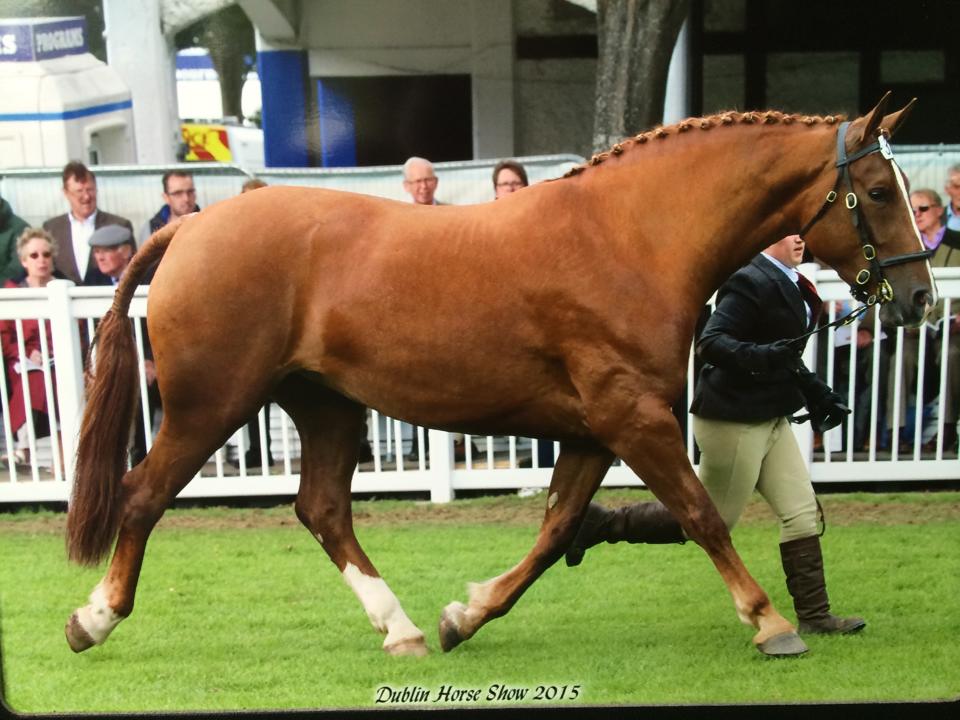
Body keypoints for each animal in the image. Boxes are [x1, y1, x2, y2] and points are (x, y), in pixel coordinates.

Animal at [65, 94, 928, 660]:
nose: (920, 296)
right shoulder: (634, 417)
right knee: (144, 496)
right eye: (878, 191)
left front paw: (465, 615)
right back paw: (94, 620)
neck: (630, 238)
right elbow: (699, 515)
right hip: (209, 405)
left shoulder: (594, 431)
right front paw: (771, 623)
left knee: (323, 510)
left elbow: (555, 533)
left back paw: (405, 629)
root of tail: (191, 226)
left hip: (327, 406)